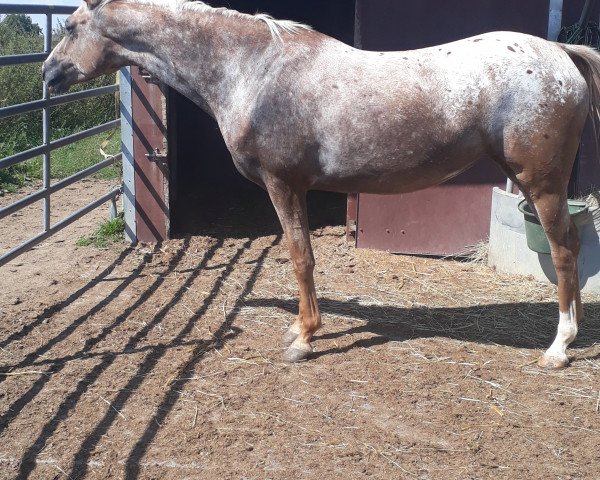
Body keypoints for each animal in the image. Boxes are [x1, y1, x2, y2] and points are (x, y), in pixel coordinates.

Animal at [44, 0, 600, 368]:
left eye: (69, 26)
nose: (48, 75)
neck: (253, 69)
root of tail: (560, 53)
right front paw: (301, 327)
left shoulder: (284, 184)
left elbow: (299, 256)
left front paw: (304, 337)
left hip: (542, 185)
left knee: (563, 251)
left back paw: (559, 347)